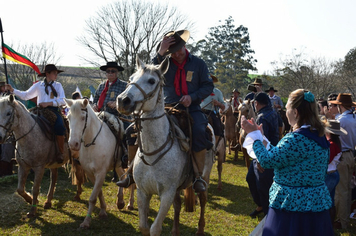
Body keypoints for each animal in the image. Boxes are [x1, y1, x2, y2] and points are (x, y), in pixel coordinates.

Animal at [65, 98, 135, 229]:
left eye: (83, 117)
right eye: (68, 117)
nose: (73, 144)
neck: (92, 143)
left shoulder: (101, 173)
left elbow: (93, 198)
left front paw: (86, 222)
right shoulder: (90, 173)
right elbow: (98, 192)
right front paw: (103, 211)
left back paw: (130, 203)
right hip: (117, 165)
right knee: (122, 178)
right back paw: (120, 202)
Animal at [116, 57, 214, 236]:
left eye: (151, 80)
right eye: (131, 78)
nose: (122, 101)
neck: (152, 153)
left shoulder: (166, 194)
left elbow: (155, 228)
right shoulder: (143, 192)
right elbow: (144, 227)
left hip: (204, 176)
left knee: (203, 199)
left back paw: (200, 228)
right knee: (178, 205)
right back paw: (175, 230)